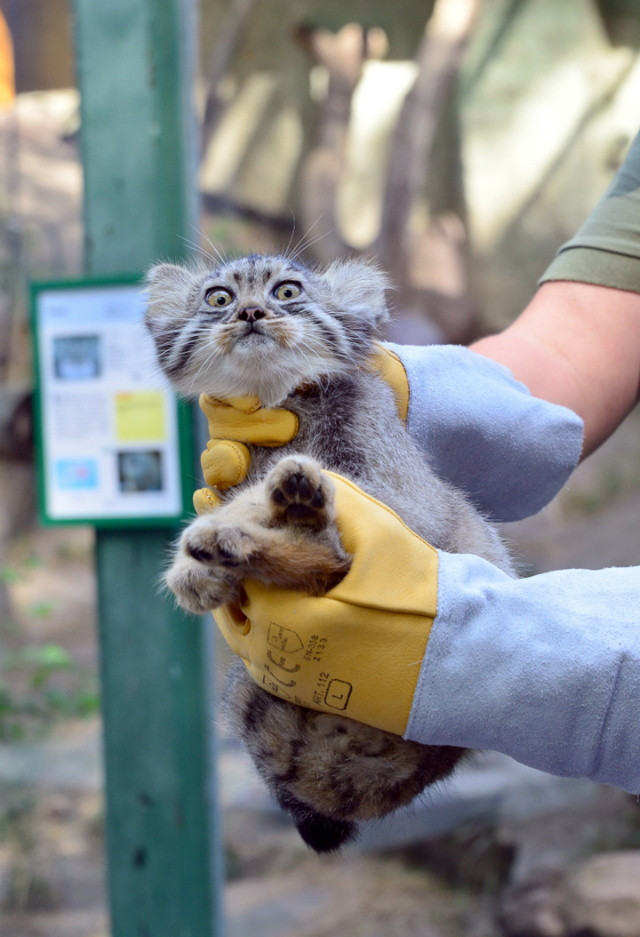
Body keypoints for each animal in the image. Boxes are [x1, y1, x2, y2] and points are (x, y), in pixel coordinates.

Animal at [146, 252, 516, 852]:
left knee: (331, 553)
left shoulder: (398, 496)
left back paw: (261, 524)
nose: (251, 311)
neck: (280, 406)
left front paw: (215, 535)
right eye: (219, 298)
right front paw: (205, 563)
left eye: (287, 290)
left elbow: (286, 490)